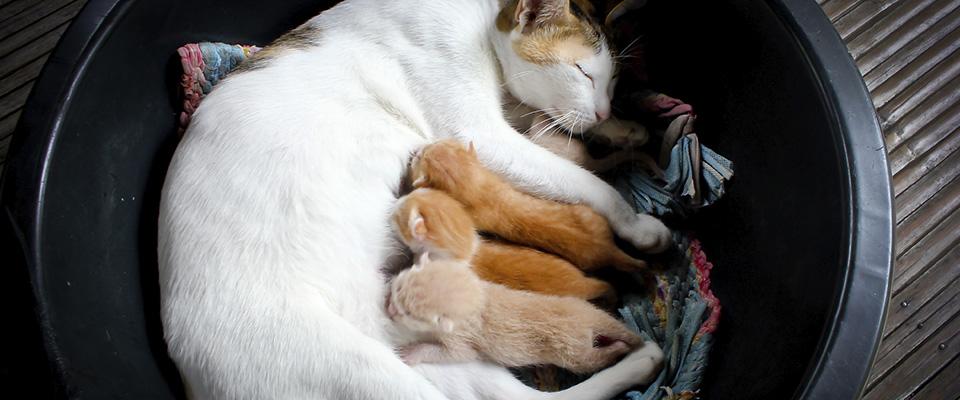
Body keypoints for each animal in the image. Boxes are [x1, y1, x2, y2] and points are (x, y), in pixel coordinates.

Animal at [388, 253, 652, 376]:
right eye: (398, 286)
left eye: (408, 313)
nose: (388, 309)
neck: (480, 298)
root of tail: (587, 320)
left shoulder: (461, 337)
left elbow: (459, 354)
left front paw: (411, 352)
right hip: (583, 307)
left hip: (573, 352)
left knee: (592, 359)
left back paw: (619, 348)